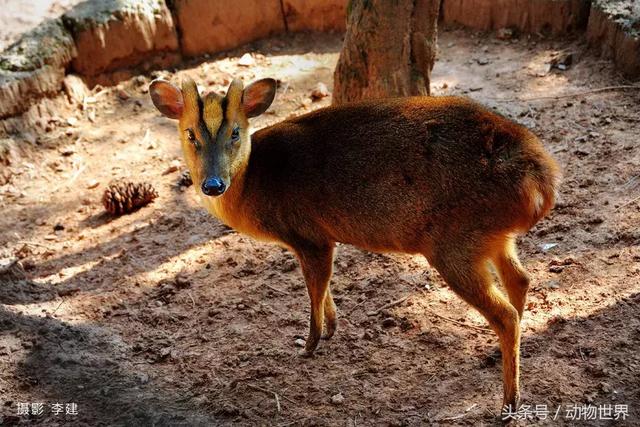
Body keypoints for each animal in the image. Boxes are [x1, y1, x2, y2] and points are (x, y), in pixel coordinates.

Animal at [150, 77, 560, 412]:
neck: (253, 181)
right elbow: (325, 286)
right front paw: (331, 328)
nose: (212, 184)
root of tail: (542, 180)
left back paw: (509, 403)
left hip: (454, 243)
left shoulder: (308, 235)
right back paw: (495, 355)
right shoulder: (320, 238)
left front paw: (310, 343)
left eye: (235, 132)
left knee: (505, 314)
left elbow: (316, 287)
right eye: (190, 135)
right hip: (492, 237)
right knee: (520, 280)